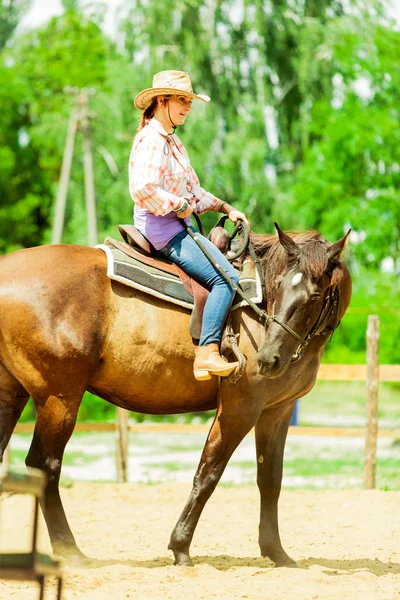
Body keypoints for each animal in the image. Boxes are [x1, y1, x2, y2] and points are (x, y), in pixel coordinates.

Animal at [0, 224, 350, 568]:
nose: (268, 359)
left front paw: (276, 552)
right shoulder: (241, 406)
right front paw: (180, 546)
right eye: (277, 286)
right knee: (44, 465)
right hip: (59, 399)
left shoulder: (277, 410)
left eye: (314, 295)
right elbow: (208, 473)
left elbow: (270, 479)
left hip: (12, 394)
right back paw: (69, 549)